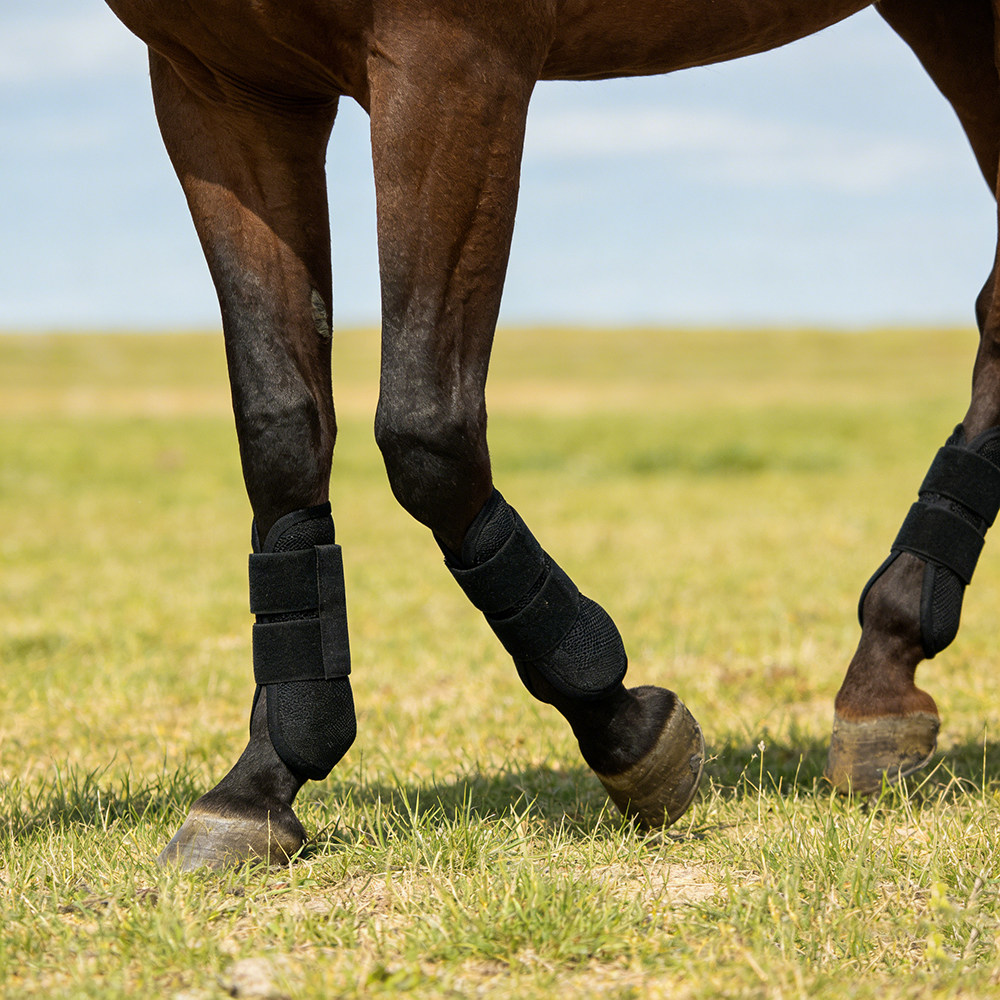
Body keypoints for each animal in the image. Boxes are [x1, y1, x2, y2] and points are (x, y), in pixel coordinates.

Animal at [97, 0, 1000, 869]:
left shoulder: (455, 60)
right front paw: (260, 783)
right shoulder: (222, 87)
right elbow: (281, 429)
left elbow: (426, 430)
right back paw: (883, 676)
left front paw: (622, 725)